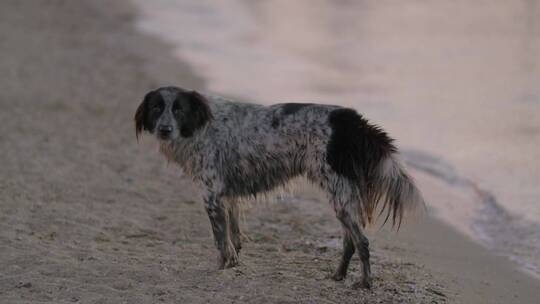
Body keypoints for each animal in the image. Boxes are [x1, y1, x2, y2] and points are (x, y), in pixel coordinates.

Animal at [134, 85, 422, 288]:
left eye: (178, 109)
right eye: (157, 108)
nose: (164, 130)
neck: (200, 126)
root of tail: (349, 119)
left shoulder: (212, 194)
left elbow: (220, 241)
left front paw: (222, 267)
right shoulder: (228, 196)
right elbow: (233, 237)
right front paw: (233, 265)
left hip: (340, 195)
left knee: (361, 242)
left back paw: (364, 283)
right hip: (342, 196)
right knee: (350, 242)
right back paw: (338, 276)